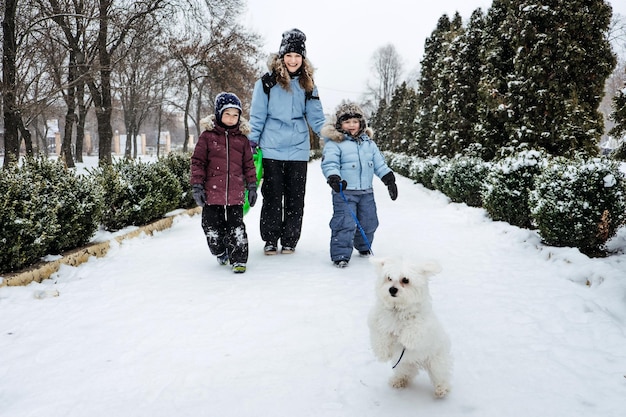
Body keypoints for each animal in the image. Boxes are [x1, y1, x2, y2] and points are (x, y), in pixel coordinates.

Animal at [364, 256, 450, 396]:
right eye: (388, 278)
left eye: (405, 280)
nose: (392, 289)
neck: (397, 308)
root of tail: (419, 361)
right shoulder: (376, 321)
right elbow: (380, 337)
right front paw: (382, 353)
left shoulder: (423, 326)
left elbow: (413, 330)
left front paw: (405, 340)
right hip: (403, 364)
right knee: (406, 373)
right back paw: (398, 380)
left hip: (437, 360)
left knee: (440, 375)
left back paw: (441, 389)